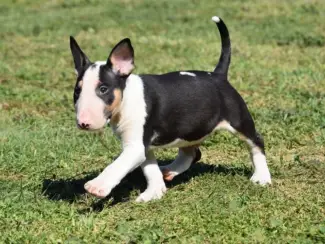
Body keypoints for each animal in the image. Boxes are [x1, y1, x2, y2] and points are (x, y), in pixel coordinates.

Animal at [69, 15, 270, 202]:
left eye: (103, 89)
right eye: (77, 91)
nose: (83, 123)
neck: (126, 98)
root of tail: (218, 75)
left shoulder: (135, 146)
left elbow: (118, 164)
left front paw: (98, 185)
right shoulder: (143, 146)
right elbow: (150, 168)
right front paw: (154, 191)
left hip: (238, 119)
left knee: (256, 142)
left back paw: (262, 177)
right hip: (190, 129)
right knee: (193, 152)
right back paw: (170, 170)